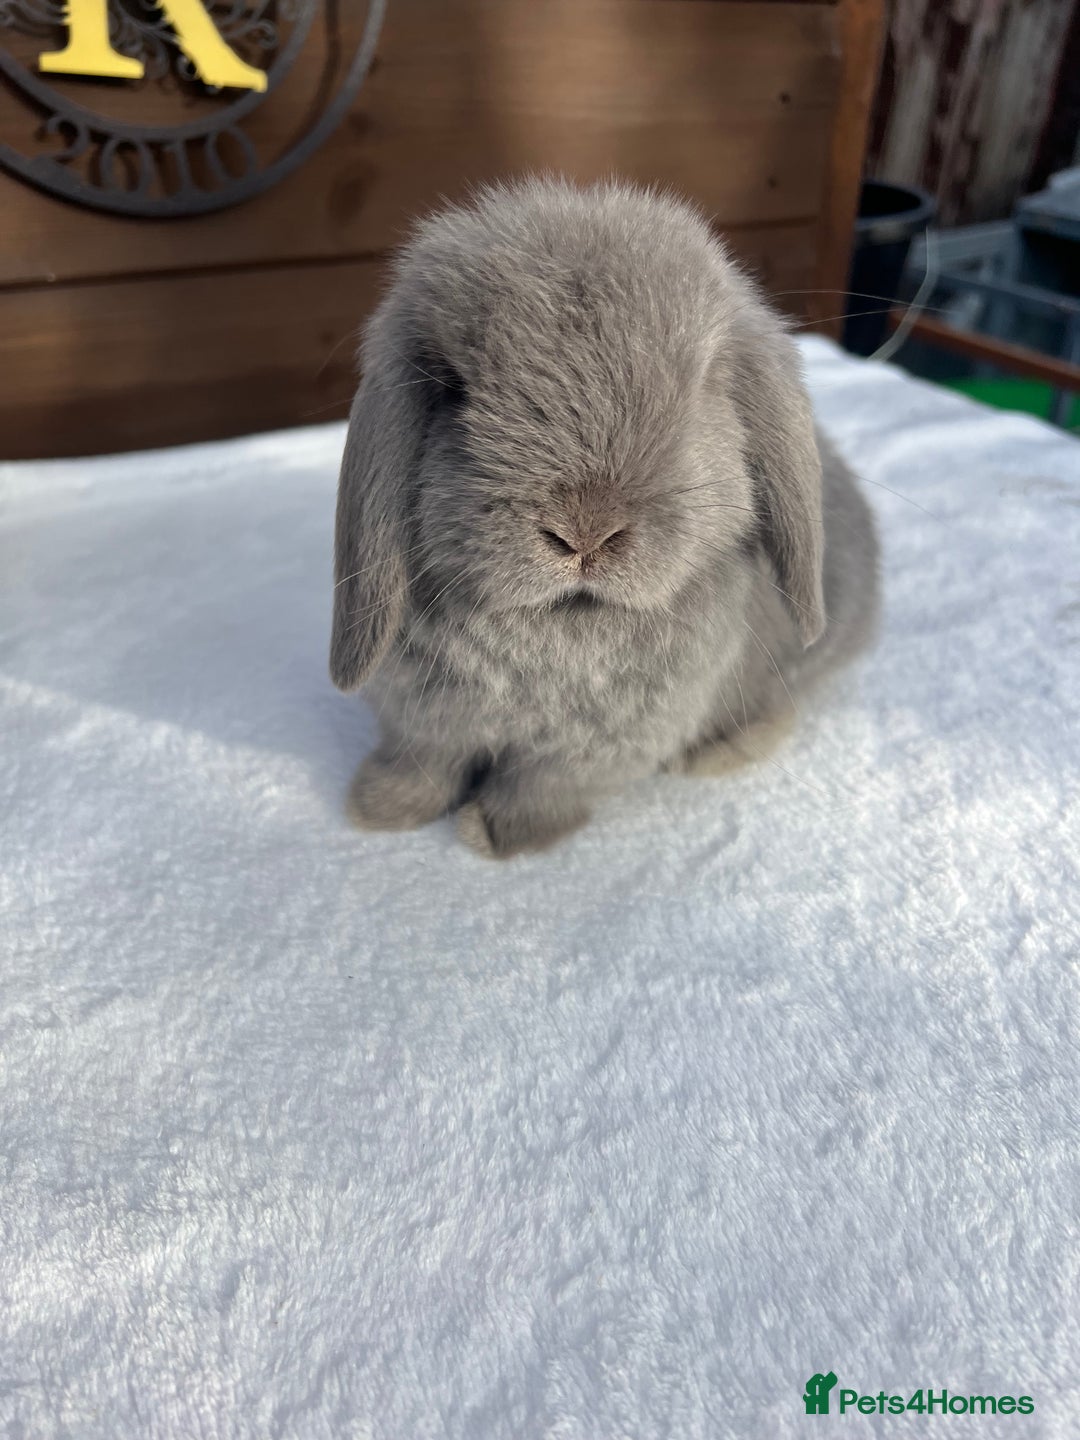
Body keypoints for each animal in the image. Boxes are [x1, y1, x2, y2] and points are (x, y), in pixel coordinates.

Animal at [330, 176, 879, 858]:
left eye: (701, 385)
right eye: (453, 388)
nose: (584, 532)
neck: (559, 629)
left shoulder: (592, 750)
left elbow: (538, 787)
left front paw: (497, 836)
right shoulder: (424, 718)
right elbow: (422, 763)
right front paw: (377, 810)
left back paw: (709, 757)